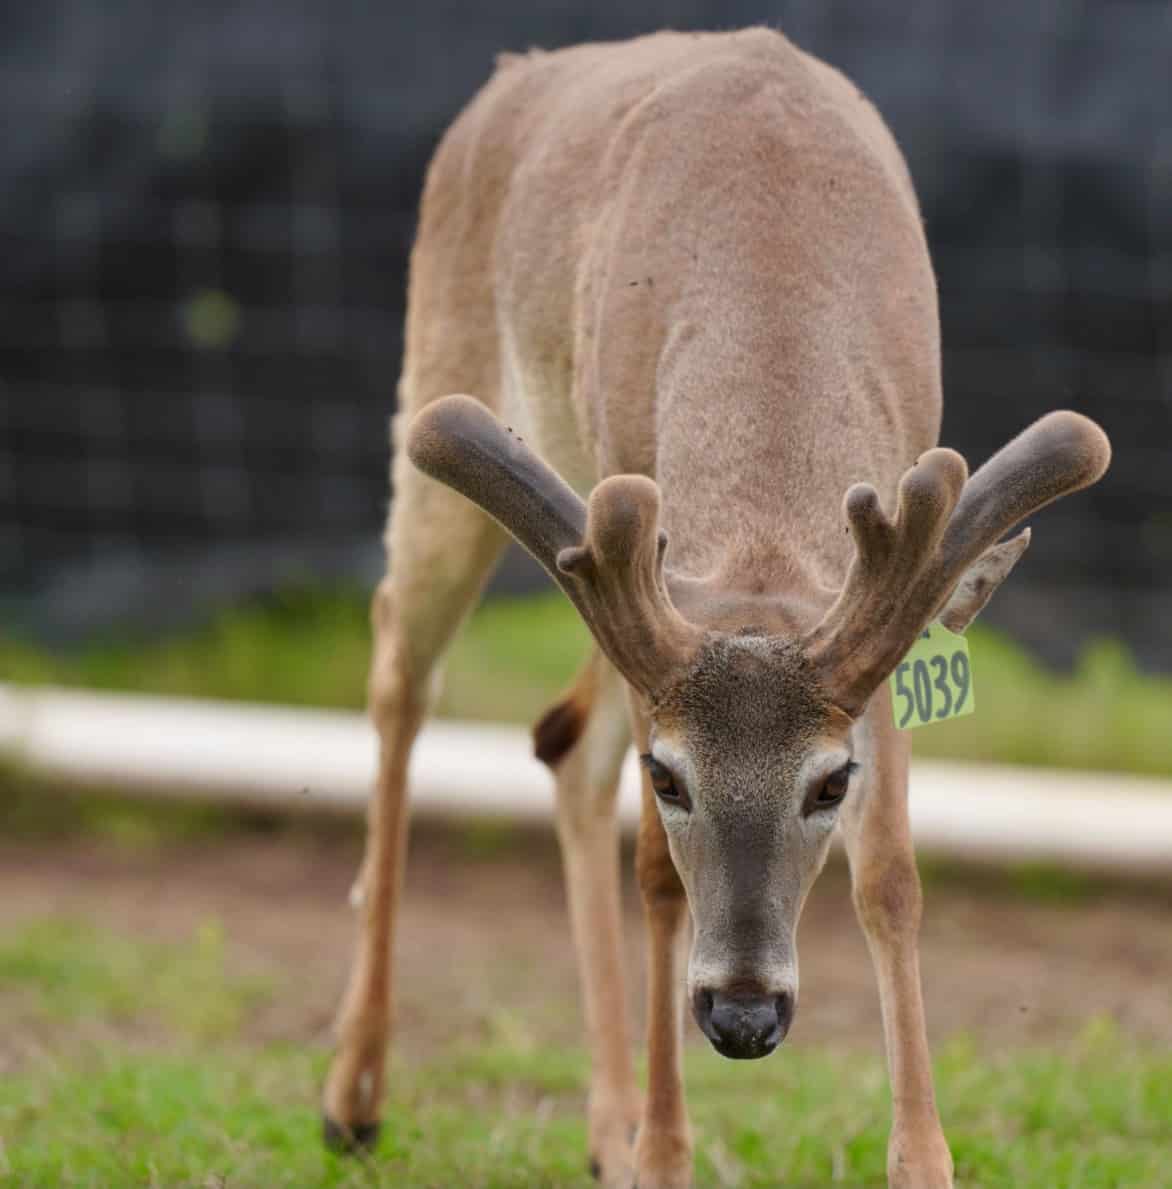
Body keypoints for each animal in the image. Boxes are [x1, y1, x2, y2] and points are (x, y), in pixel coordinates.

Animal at [322, 27, 1111, 1188]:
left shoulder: (874, 632)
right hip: (439, 389)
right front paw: (663, 1153)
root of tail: (507, 79)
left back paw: (600, 1125)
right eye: (672, 778)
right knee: (395, 680)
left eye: (830, 781)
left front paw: (922, 1159)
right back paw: (356, 1095)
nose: (742, 1015)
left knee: (563, 741)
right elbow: (654, 871)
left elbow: (891, 877)